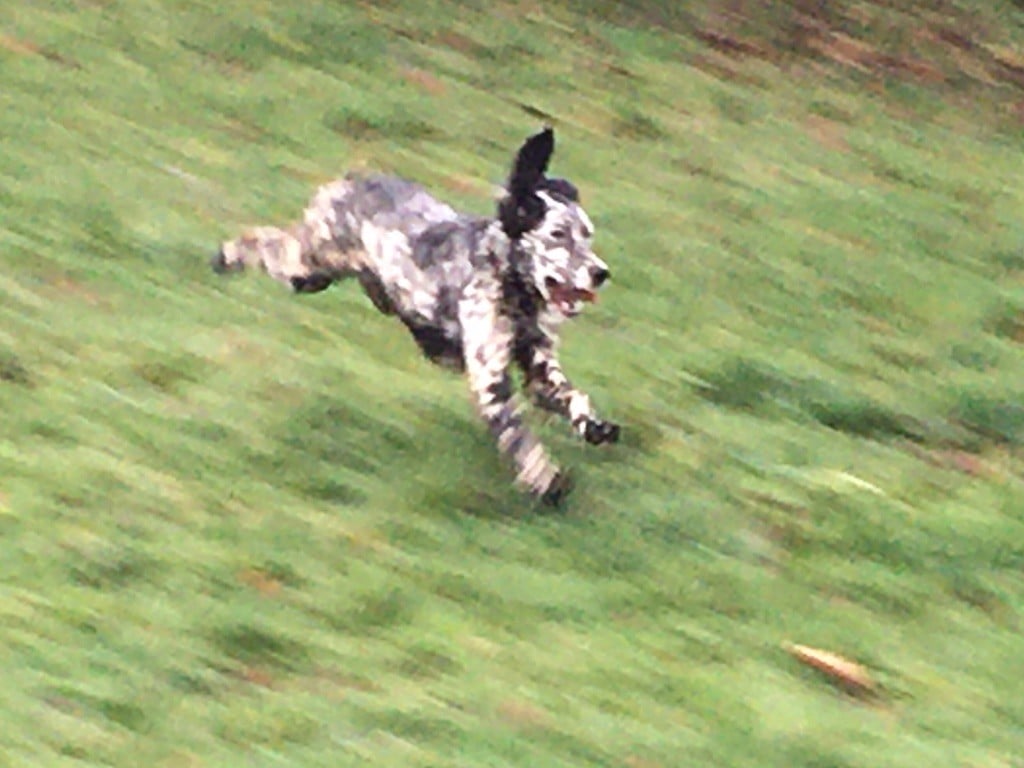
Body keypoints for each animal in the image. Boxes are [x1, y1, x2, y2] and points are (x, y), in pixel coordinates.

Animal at [209, 126, 614, 505]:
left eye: (588, 234)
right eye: (558, 234)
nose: (602, 272)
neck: (512, 286)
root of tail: (350, 180)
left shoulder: (538, 370)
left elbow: (573, 395)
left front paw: (594, 425)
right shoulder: (491, 379)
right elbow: (520, 437)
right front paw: (546, 481)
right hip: (308, 270)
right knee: (263, 240)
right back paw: (225, 256)